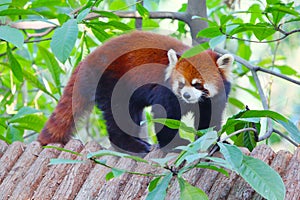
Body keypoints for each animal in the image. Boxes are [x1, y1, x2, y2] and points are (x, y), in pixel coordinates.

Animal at [37, 30, 233, 153]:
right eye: (181, 84)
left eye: (197, 85)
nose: (186, 95)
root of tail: (89, 58)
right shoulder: (166, 92)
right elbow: (164, 115)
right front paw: (174, 144)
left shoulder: (214, 99)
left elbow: (210, 120)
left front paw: (212, 142)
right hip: (112, 82)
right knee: (119, 114)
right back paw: (131, 145)